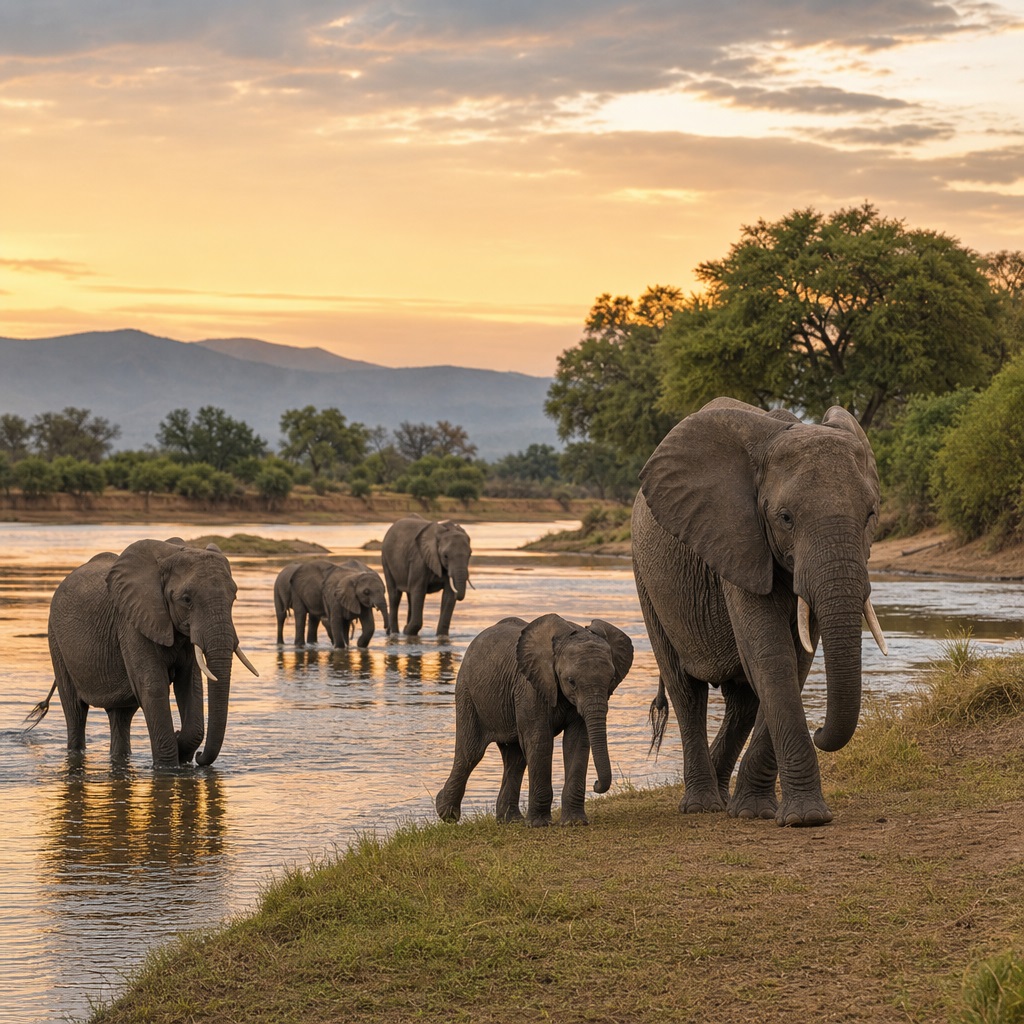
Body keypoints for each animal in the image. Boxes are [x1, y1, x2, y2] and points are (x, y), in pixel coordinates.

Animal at [27, 538, 259, 768]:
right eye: (186, 599)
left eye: (234, 597)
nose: (200, 757)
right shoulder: (132, 622)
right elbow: (153, 686)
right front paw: (168, 767)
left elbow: (190, 686)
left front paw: (181, 749)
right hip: (56, 640)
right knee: (75, 710)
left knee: (120, 716)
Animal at [435, 614, 634, 827]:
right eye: (571, 681)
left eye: (611, 679)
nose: (596, 784)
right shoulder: (530, 687)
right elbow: (539, 740)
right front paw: (539, 825)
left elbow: (577, 741)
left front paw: (574, 823)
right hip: (467, 692)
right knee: (470, 752)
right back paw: (446, 814)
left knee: (514, 758)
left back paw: (510, 821)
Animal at [631, 397, 888, 827]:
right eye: (785, 518)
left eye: (870, 515)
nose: (821, 730)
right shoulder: (738, 540)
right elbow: (771, 655)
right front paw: (805, 819)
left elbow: (795, 659)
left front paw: (758, 812)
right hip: (646, 579)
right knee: (686, 690)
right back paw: (702, 805)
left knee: (743, 703)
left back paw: (724, 799)